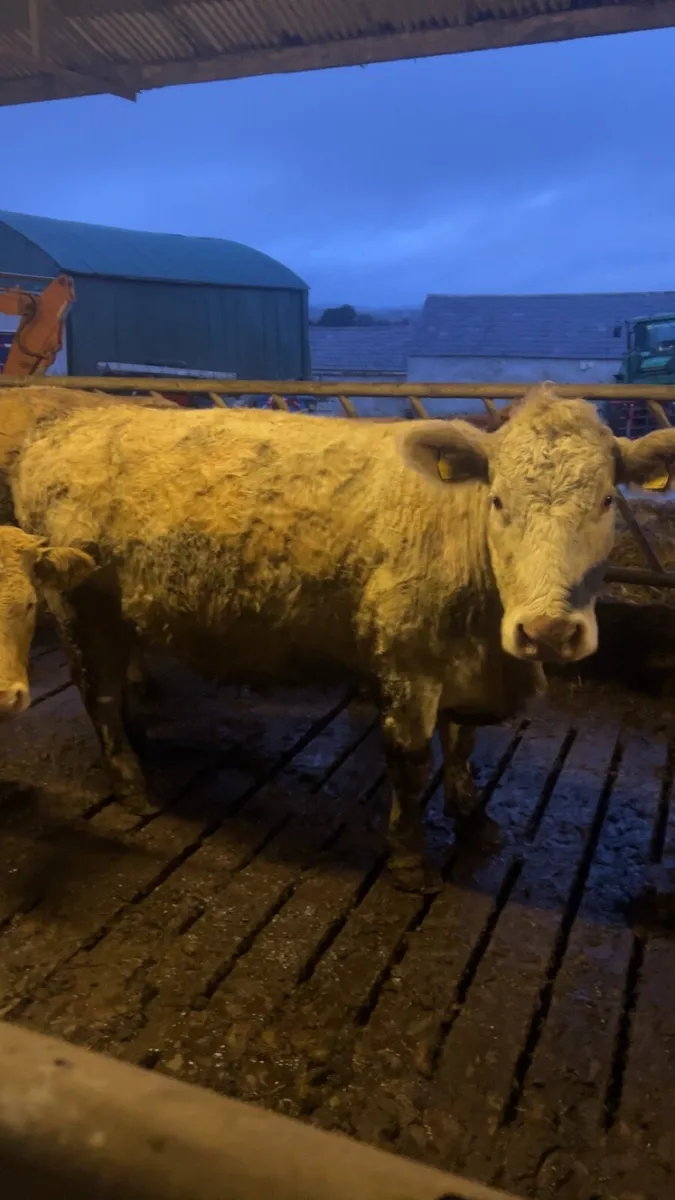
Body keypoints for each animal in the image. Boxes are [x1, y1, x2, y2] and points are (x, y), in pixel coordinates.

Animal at [4, 384, 675, 892]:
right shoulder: (407, 665)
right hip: (77, 604)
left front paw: (473, 818)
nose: (548, 630)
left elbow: (461, 747)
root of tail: (69, 420)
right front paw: (409, 860)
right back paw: (131, 782)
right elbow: (411, 763)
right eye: (498, 500)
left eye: (607, 500)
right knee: (97, 693)